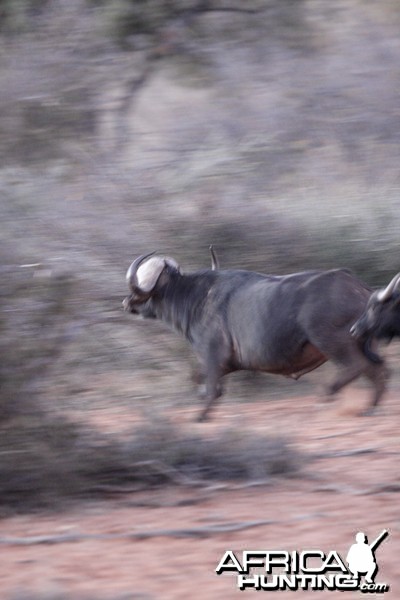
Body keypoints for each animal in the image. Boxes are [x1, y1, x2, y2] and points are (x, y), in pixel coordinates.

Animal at [122, 253, 388, 422]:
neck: (195, 297)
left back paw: (327, 396)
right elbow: (200, 379)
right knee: (379, 370)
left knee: (356, 367)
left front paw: (201, 414)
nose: (126, 302)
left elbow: (208, 385)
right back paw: (371, 408)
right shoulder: (226, 363)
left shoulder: (212, 354)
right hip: (364, 345)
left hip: (332, 342)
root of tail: (360, 289)